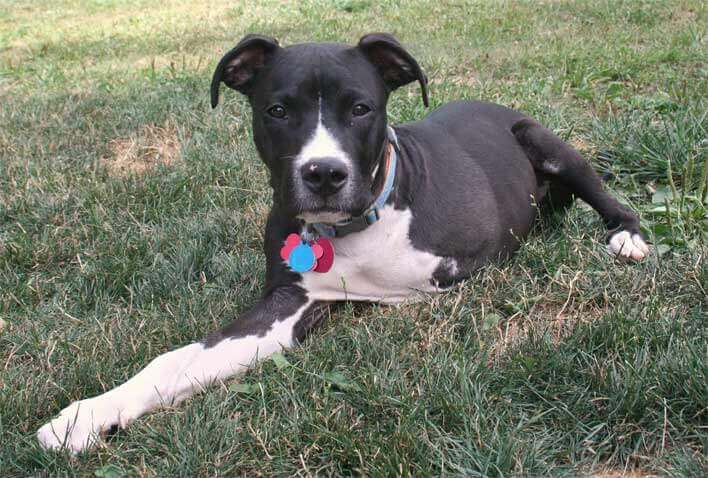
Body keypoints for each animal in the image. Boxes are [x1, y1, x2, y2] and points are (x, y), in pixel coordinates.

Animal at [37, 33, 648, 452]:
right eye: (277, 110)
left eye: (360, 108)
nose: (324, 173)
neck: (352, 226)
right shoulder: (287, 305)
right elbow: (176, 361)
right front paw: (87, 416)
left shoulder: (455, 263)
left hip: (545, 140)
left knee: (605, 195)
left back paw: (628, 237)